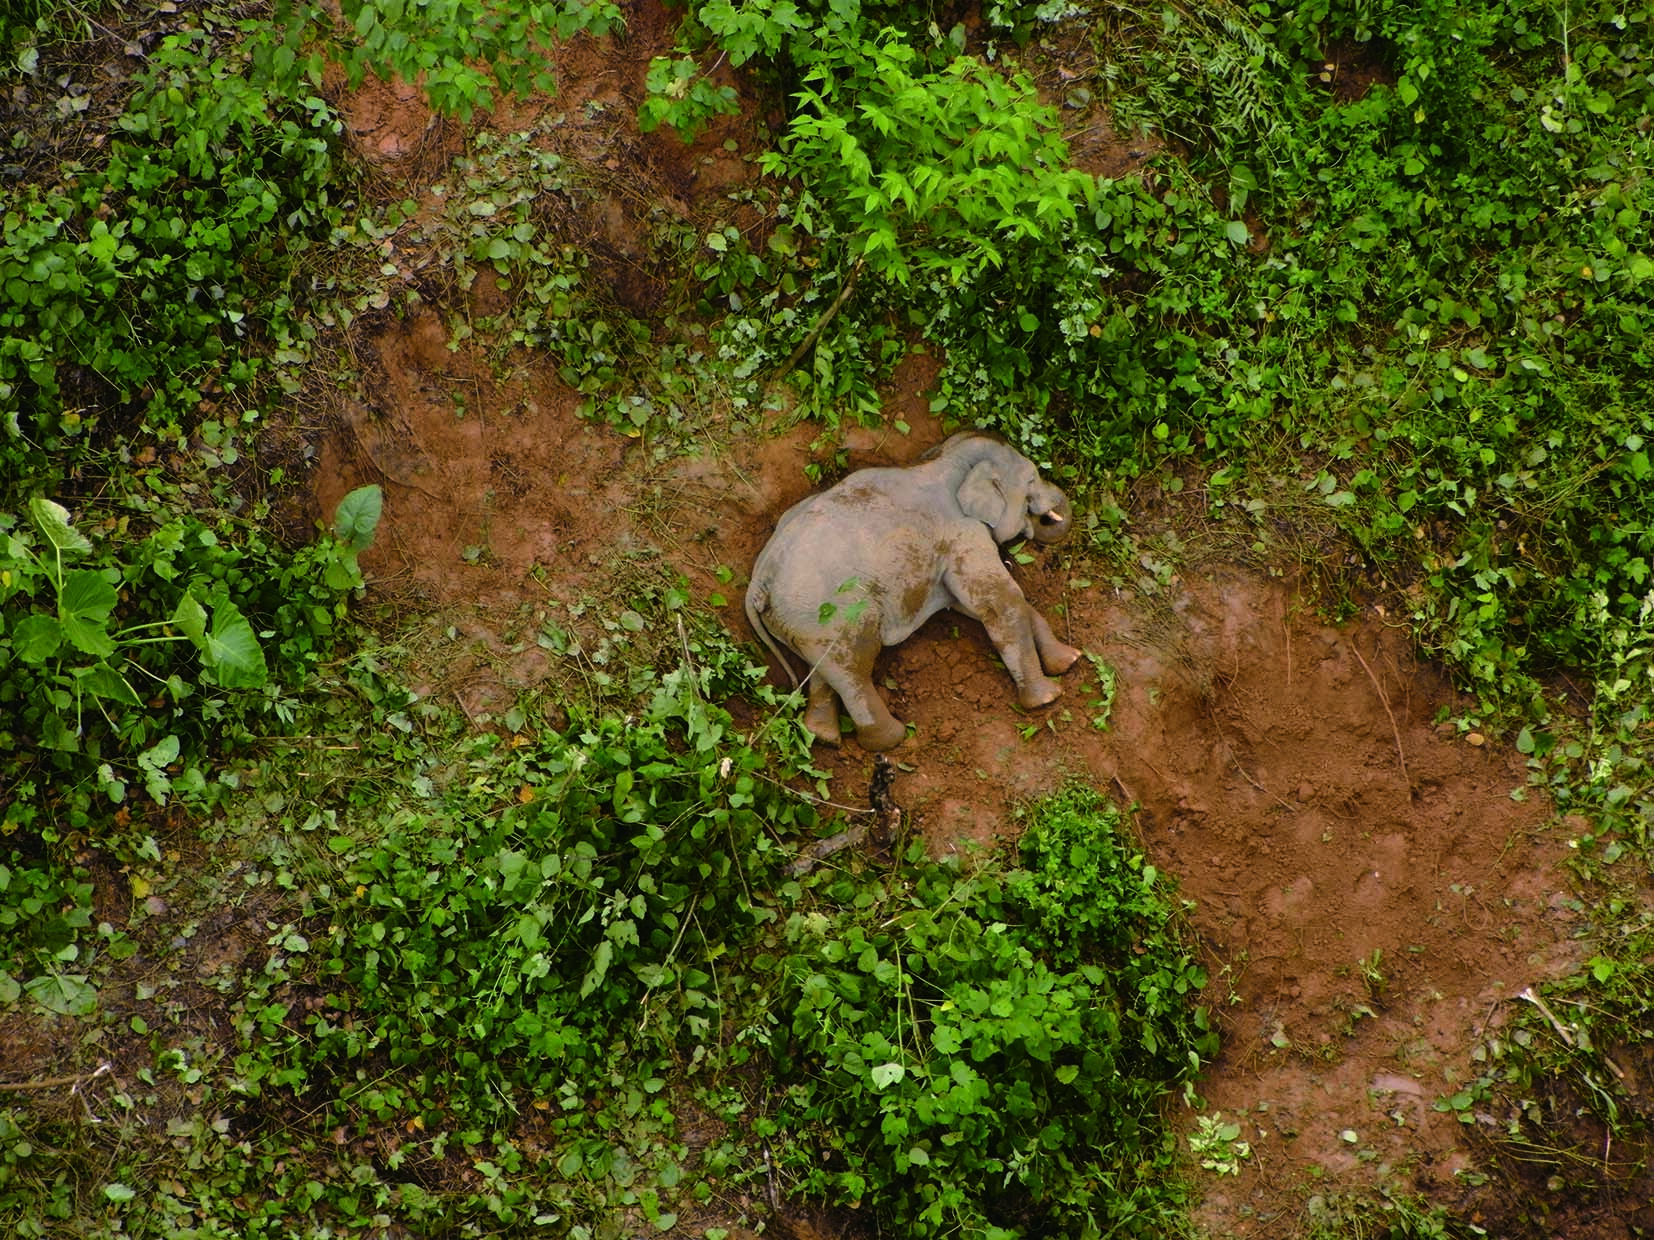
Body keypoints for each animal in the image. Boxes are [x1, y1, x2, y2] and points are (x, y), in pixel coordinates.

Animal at [744, 432, 1081, 751]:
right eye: (1031, 480)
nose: (1047, 512)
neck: (943, 459)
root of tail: (758, 582)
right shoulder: (962, 532)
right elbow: (999, 600)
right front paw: (1048, 698)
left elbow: (971, 605)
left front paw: (1070, 661)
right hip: (832, 612)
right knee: (853, 666)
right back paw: (892, 739)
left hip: (802, 622)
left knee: (823, 667)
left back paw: (823, 736)